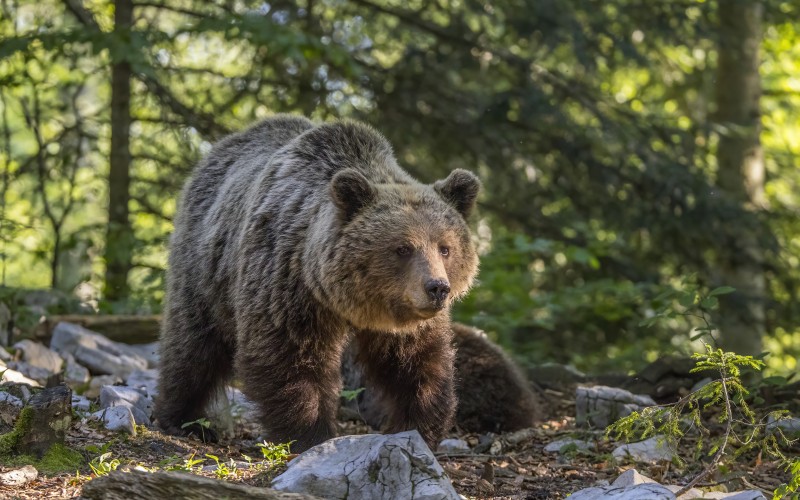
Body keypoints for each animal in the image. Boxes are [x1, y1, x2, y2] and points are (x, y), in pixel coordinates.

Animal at [156, 115, 482, 452]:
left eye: (445, 248)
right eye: (403, 248)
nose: (437, 288)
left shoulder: (404, 319)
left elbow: (416, 363)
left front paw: (418, 426)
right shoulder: (287, 284)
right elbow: (289, 357)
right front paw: (310, 434)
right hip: (206, 267)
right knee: (194, 344)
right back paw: (184, 419)